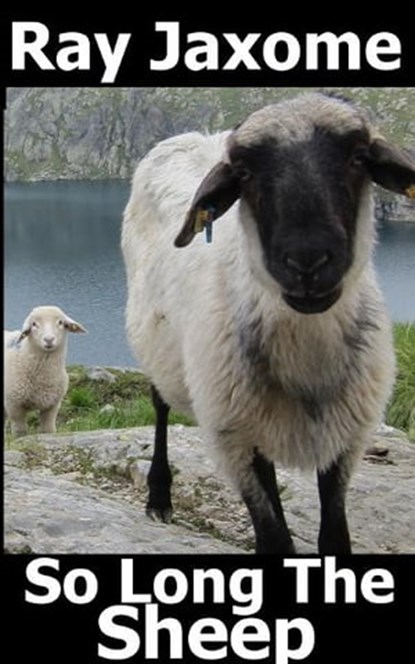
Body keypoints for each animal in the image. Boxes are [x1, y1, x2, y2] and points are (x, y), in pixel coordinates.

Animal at [4, 305, 87, 437]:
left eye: (60, 322)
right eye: (34, 324)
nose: (49, 339)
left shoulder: (52, 405)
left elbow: (47, 430)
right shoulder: (14, 405)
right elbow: (20, 432)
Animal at [122, 92, 415, 554]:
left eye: (358, 158)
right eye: (244, 174)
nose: (307, 261)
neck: (306, 359)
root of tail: (193, 136)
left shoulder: (346, 437)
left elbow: (334, 535)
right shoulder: (235, 438)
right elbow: (274, 537)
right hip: (156, 345)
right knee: (161, 405)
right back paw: (159, 496)